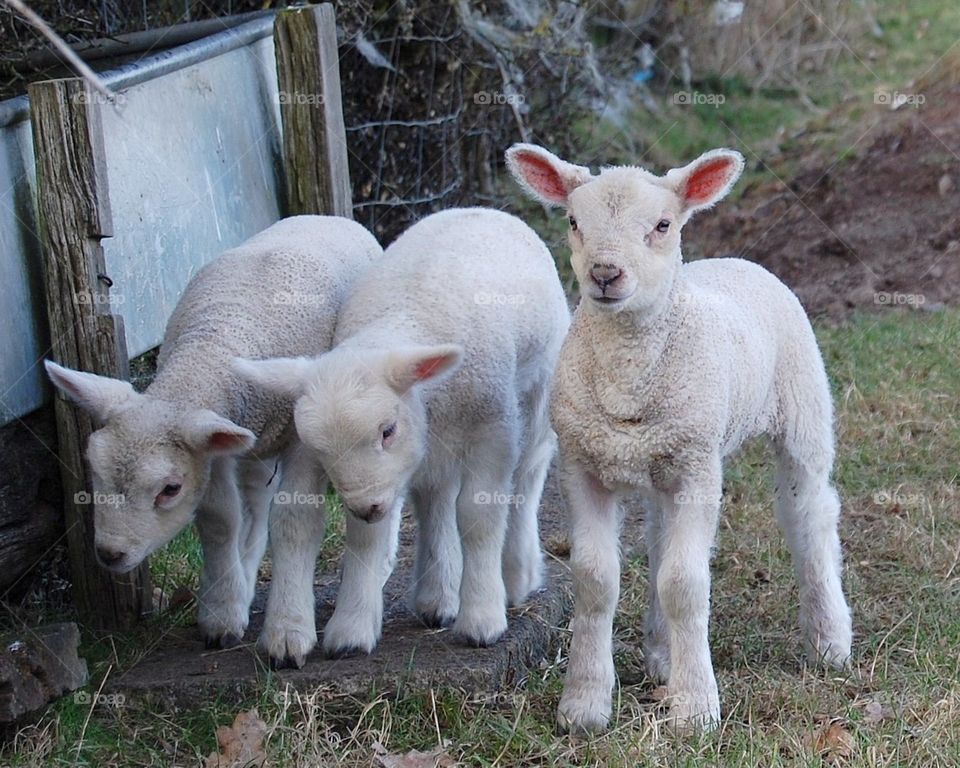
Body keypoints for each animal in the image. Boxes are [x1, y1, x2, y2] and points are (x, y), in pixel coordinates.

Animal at [45, 215, 382, 664]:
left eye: (169, 489)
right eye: (92, 470)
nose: (110, 554)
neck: (217, 344)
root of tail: (328, 218)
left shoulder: (305, 439)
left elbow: (295, 518)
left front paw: (287, 631)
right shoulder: (211, 447)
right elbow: (220, 518)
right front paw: (221, 612)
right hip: (250, 446)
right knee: (254, 502)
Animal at [233, 207, 571, 658]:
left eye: (387, 431)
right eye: (321, 449)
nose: (368, 506)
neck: (401, 320)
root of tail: (478, 208)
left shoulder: (492, 429)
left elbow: (479, 514)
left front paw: (482, 619)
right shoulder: (379, 474)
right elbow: (364, 537)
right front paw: (352, 628)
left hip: (534, 395)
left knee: (528, 475)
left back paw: (515, 577)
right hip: (436, 444)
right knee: (436, 497)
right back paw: (437, 594)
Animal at [506, 143, 853, 733]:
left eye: (662, 225)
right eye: (574, 222)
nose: (605, 273)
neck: (627, 371)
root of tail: (733, 260)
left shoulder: (697, 467)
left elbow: (685, 586)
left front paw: (695, 710)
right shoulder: (583, 465)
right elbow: (595, 581)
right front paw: (584, 704)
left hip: (802, 409)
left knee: (810, 514)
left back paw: (829, 640)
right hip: (662, 460)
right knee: (659, 536)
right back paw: (663, 653)